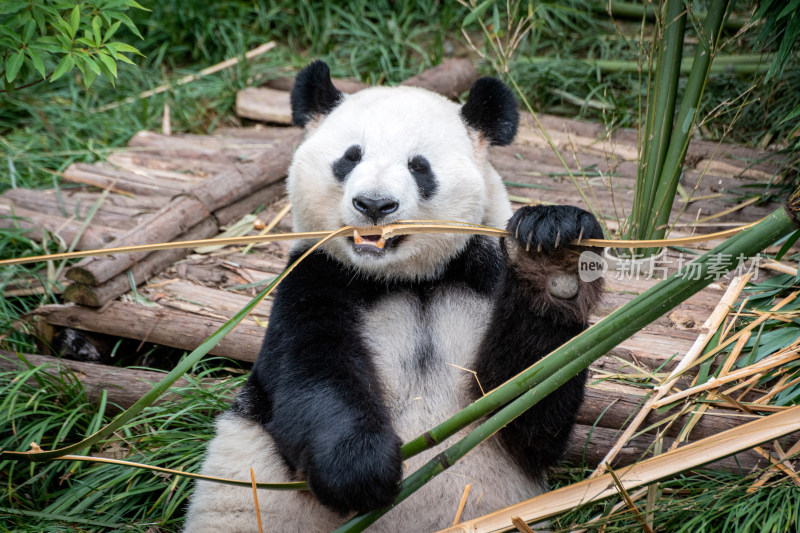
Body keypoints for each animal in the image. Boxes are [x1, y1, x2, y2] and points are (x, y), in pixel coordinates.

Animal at [186, 60, 600, 528]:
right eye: (350, 158)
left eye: (419, 166)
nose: (373, 204)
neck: (406, 280)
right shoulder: (316, 278)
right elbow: (313, 375)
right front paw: (361, 468)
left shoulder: (482, 280)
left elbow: (528, 400)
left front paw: (553, 252)